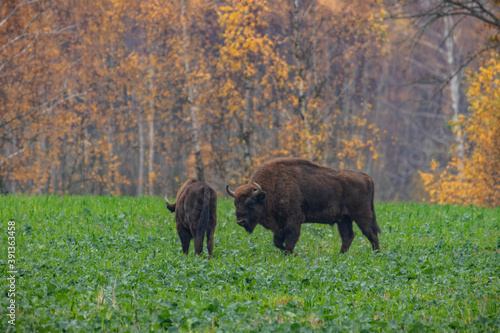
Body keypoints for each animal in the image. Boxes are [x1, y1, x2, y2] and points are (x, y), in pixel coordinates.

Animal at [225, 157, 380, 253]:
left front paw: (294, 255)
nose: (240, 221)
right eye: (235, 203)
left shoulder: (293, 222)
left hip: (361, 215)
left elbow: (289, 243)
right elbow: (278, 243)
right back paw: (339, 255)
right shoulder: (279, 227)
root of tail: (365, 177)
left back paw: (376, 255)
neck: (269, 191)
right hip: (344, 219)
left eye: (250, 203)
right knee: (348, 237)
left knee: (370, 233)